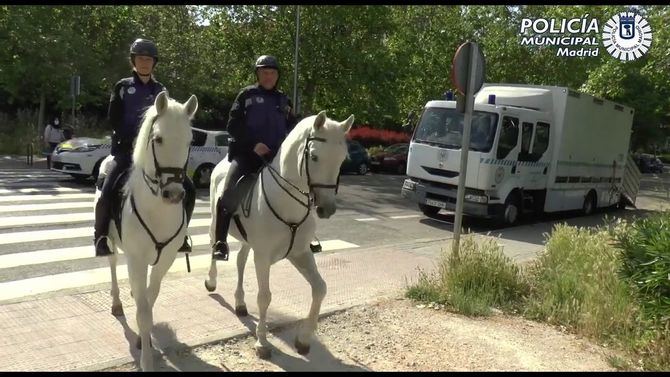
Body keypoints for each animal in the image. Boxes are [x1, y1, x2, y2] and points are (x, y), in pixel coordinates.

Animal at [96, 90, 198, 370]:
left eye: (189, 141)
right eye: (158, 139)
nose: (174, 194)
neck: (158, 210)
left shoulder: (165, 260)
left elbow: (150, 301)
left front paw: (146, 341)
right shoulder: (137, 258)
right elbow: (143, 313)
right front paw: (147, 360)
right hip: (111, 242)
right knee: (112, 264)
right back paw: (117, 303)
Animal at [206, 109, 354, 358]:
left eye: (342, 159)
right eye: (314, 157)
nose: (327, 208)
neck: (286, 202)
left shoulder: (300, 253)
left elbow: (320, 288)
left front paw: (303, 339)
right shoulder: (263, 257)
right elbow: (264, 297)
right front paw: (262, 342)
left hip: (249, 242)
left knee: (240, 261)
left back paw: (240, 303)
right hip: (216, 221)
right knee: (214, 246)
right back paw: (211, 280)